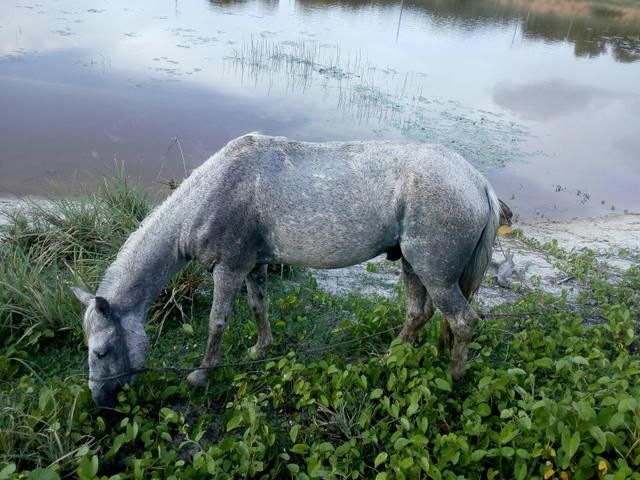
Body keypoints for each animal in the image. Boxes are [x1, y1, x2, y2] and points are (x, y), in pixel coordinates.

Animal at [72, 133, 502, 407]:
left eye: (101, 351)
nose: (101, 403)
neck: (214, 193)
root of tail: (478, 183)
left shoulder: (228, 269)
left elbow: (217, 322)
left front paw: (201, 374)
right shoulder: (254, 265)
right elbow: (258, 307)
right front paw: (261, 348)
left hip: (435, 274)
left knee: (463, 322)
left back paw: (454, 378)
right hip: (413, 265)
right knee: (418, 313)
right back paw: (390, 358)